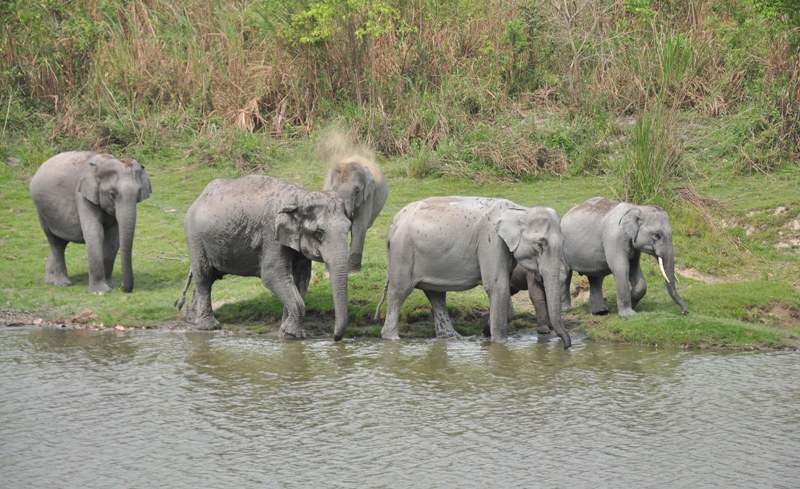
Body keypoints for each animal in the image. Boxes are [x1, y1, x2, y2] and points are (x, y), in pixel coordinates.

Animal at [30, 151, 152, 294]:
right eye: (111, 194)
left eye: (138, 194)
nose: (122, 287)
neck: (102, 164)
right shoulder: (82, 196)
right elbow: (95, 233)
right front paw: (101, 292)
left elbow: (113, 238)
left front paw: (110, 286)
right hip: (42, 213)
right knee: (55, 242)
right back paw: (62, 283)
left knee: (61, 243)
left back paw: (49, 280)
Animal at [175, 175, 351, 340]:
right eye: (319, 232)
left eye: (349, 227)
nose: (335, 338)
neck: (299, 197)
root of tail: (199, 196)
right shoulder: (271, 235)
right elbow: (273, 275)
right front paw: (292, 335)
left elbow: (301, 278)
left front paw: (286, 333)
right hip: (195, 237)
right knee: (204, 275)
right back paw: (208, 326)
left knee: (211, 276)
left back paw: (192, 320)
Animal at [374, 196, 571, 348]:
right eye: (540, 244)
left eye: (563, 243)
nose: (566, 346)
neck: (520, 210)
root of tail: (393, 223)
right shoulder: (490, 241)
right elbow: (497, 286)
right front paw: (499, 343)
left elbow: (503, 287)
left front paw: (485, 326)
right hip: (403, 252)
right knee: (400, 292)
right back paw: (392, 338)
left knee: (436, 294)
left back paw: (453, 338)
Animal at [560, 196, 689, 316]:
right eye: (656, 235)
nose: (683, 312)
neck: (636, 208)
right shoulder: (614, 237)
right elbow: (621, 268)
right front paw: (628, 315)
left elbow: (634, 269)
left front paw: (632, 303)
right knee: (565, 274)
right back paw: (566, 310)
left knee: (595, 278)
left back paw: (600, 312)